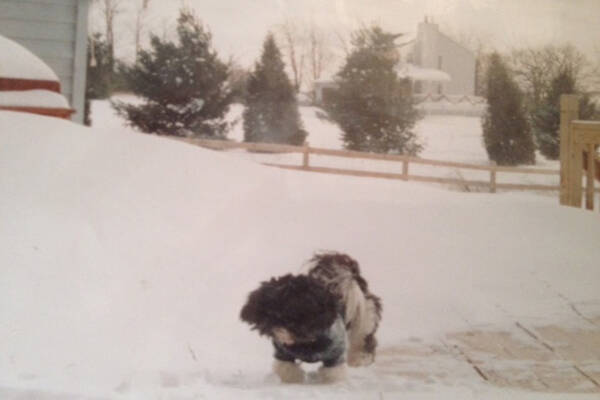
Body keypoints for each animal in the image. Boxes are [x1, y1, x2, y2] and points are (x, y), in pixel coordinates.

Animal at [238, 252, 380, 382]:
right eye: (270, 305)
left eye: (295, 307)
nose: (276, 322)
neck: (305, 341)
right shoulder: (283, 354)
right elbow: (287, 370)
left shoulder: (335, 355)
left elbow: (333, 374)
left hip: (365, 318)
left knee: (362, 339)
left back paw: (359, 358)